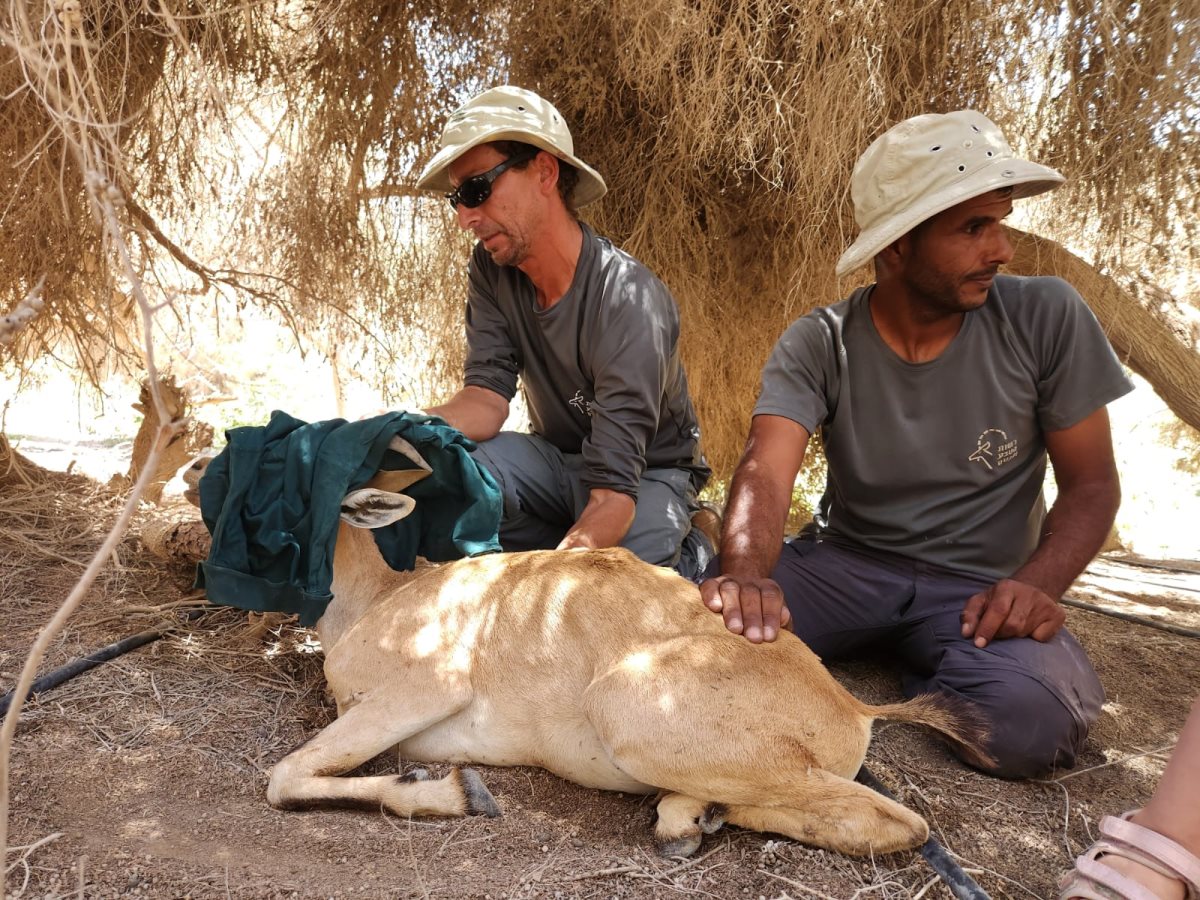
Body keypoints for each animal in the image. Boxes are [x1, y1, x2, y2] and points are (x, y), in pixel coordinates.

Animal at [189, 453, 993, 854]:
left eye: (280, 473)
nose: (194, 468)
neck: (376, 601)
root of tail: (851, 706)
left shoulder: (427, 687)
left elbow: (283, 777)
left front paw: (458, 792)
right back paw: (693, 817)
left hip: (633, 711)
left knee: (905, 824)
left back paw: (688, 821)